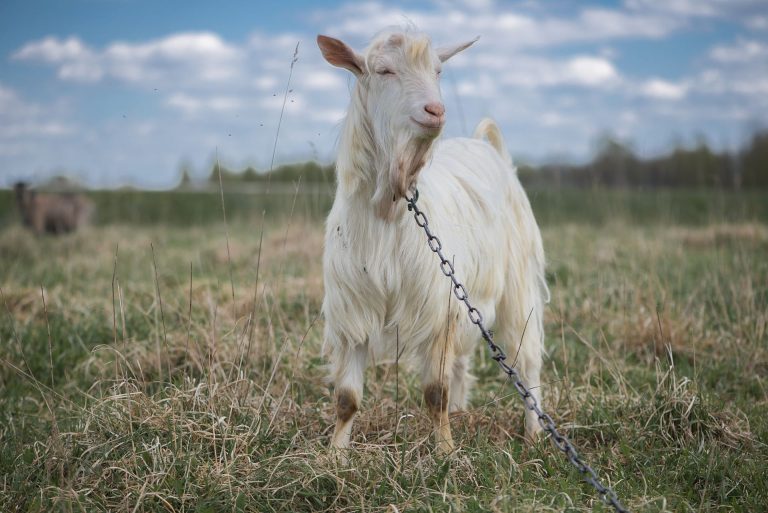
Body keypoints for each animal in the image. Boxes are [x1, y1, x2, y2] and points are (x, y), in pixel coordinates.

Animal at [318, 28, 548, 456]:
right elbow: (346, 397)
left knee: (527, 361)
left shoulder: (437, 305)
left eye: (438, 70)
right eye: (384, 70)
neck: (390, 210)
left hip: (516, 282)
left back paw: (534, 434)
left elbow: (434, 391)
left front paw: (445, 451)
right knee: (461, 360)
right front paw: (335, 455)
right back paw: (461, 413)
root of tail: (485, 145)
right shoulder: (352, 306)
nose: (435, 110)